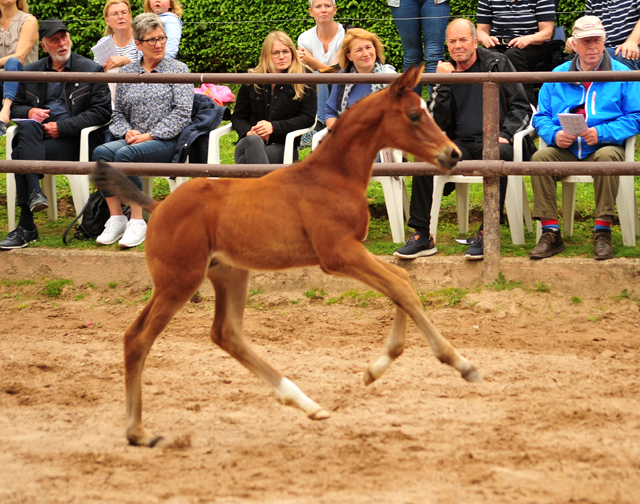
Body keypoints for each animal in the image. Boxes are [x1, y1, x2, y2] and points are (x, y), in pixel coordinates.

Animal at [91, 65, 480, 446]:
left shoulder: (350, 251)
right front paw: (460, 363)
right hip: (179, 281)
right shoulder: (339, 253)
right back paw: (137, 431)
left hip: (227, 273)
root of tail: (158, 207)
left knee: (225, 334)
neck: (333, 175)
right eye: (414, 115)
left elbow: (401, 280)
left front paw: (374, 370)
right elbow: (401, 285)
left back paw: (307, 404)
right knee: (138, 338)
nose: (453, 154)